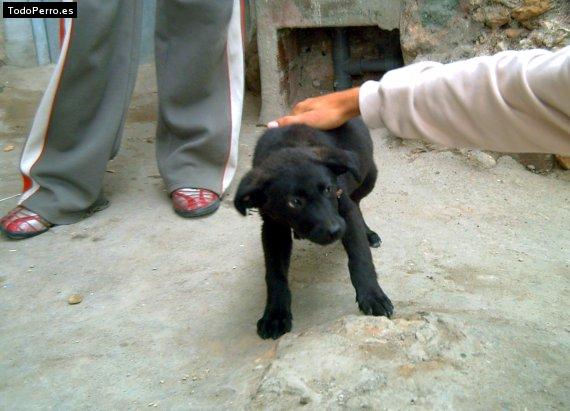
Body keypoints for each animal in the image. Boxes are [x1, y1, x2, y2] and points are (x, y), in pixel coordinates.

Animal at [234, 119, 390, 342]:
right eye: (294, 202)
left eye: (328, 189)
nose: (335, 230)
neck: (289, 145)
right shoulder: (273, 227)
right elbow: (275, 274)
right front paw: (275, 314)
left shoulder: (344, 210)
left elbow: (360, 258)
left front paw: (372, 296)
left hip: (368, 176)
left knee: (358, 200)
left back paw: (368, 233)